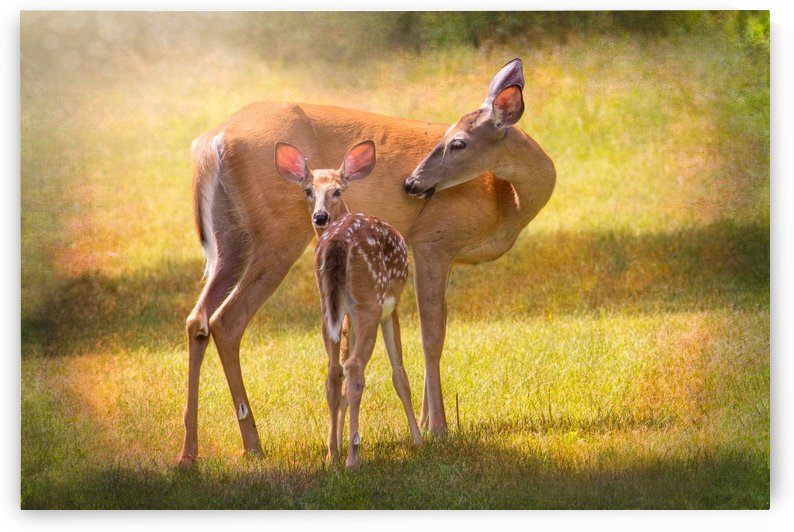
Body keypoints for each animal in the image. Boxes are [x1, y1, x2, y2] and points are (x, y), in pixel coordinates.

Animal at [274, 139, 422, 468]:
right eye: (308, 190)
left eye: (337, 190)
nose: (319, 217)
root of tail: (337, 241)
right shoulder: (390, 309)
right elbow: (400, 374)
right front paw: (419, 439)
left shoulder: (340, 315)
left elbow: (339, 376)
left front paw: (337, 443)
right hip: (369, 301)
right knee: (354, 368)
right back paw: (353, 456)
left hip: (327, 306)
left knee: (333, 371)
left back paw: (332, 453)